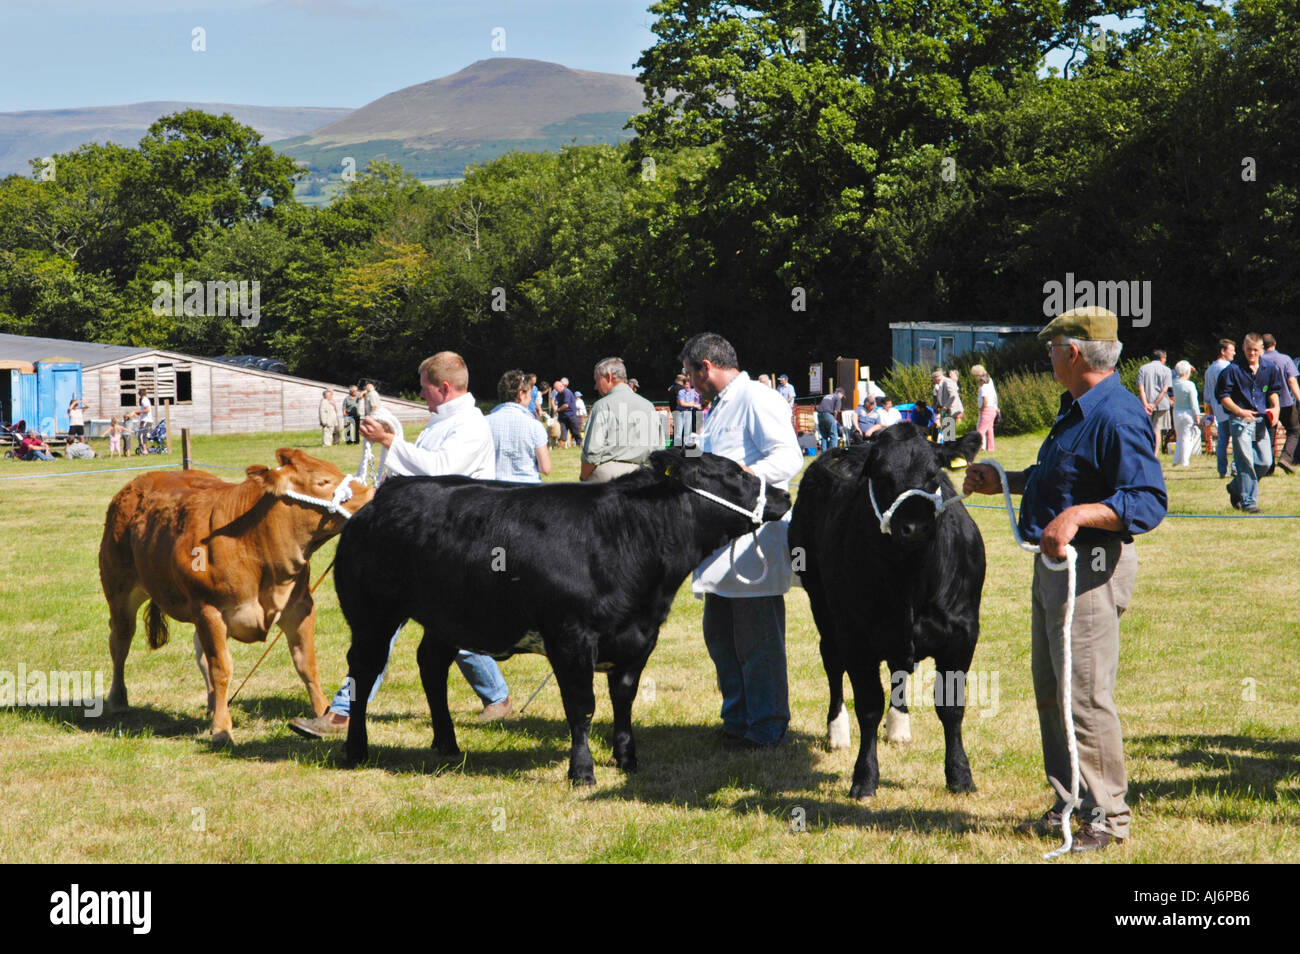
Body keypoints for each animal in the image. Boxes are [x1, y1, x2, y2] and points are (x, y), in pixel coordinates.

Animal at [98, 447, 374, 748]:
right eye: (323, 481)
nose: (373, 495)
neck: (257, 549)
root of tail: (138, 482)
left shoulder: (300, 606)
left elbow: (306, 664)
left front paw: (322, 713)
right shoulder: (209, 610)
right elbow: (222, 668)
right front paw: (221, 729)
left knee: (200, 654)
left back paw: (211, 705)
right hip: (119, 588)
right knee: (120, 641)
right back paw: (118, 700)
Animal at [335, 452, 790, 790]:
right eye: (734, 473)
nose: (784, 494)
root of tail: (387, 491)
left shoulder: (639, 637)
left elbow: (623, 700)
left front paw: (627, 758)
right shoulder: (571, 637)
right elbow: (582, 707)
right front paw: (582, 772)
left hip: (447, 616)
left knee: (431, 664)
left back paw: (447, 744)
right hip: (372, 614)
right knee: (364, 669)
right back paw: (356, 751)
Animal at [780, 426, 982, 800]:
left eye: (933, 475)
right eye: (883, 476)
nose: (916, 526)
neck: (910, 583)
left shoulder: (962, 635)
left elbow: (951, 707)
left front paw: (960, 775)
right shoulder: (856, 638)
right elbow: (869, 706)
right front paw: (864, 778)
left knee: (898, 669)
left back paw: (899, 725)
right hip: (821, 604)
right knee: (832, 663)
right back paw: (837, 731)